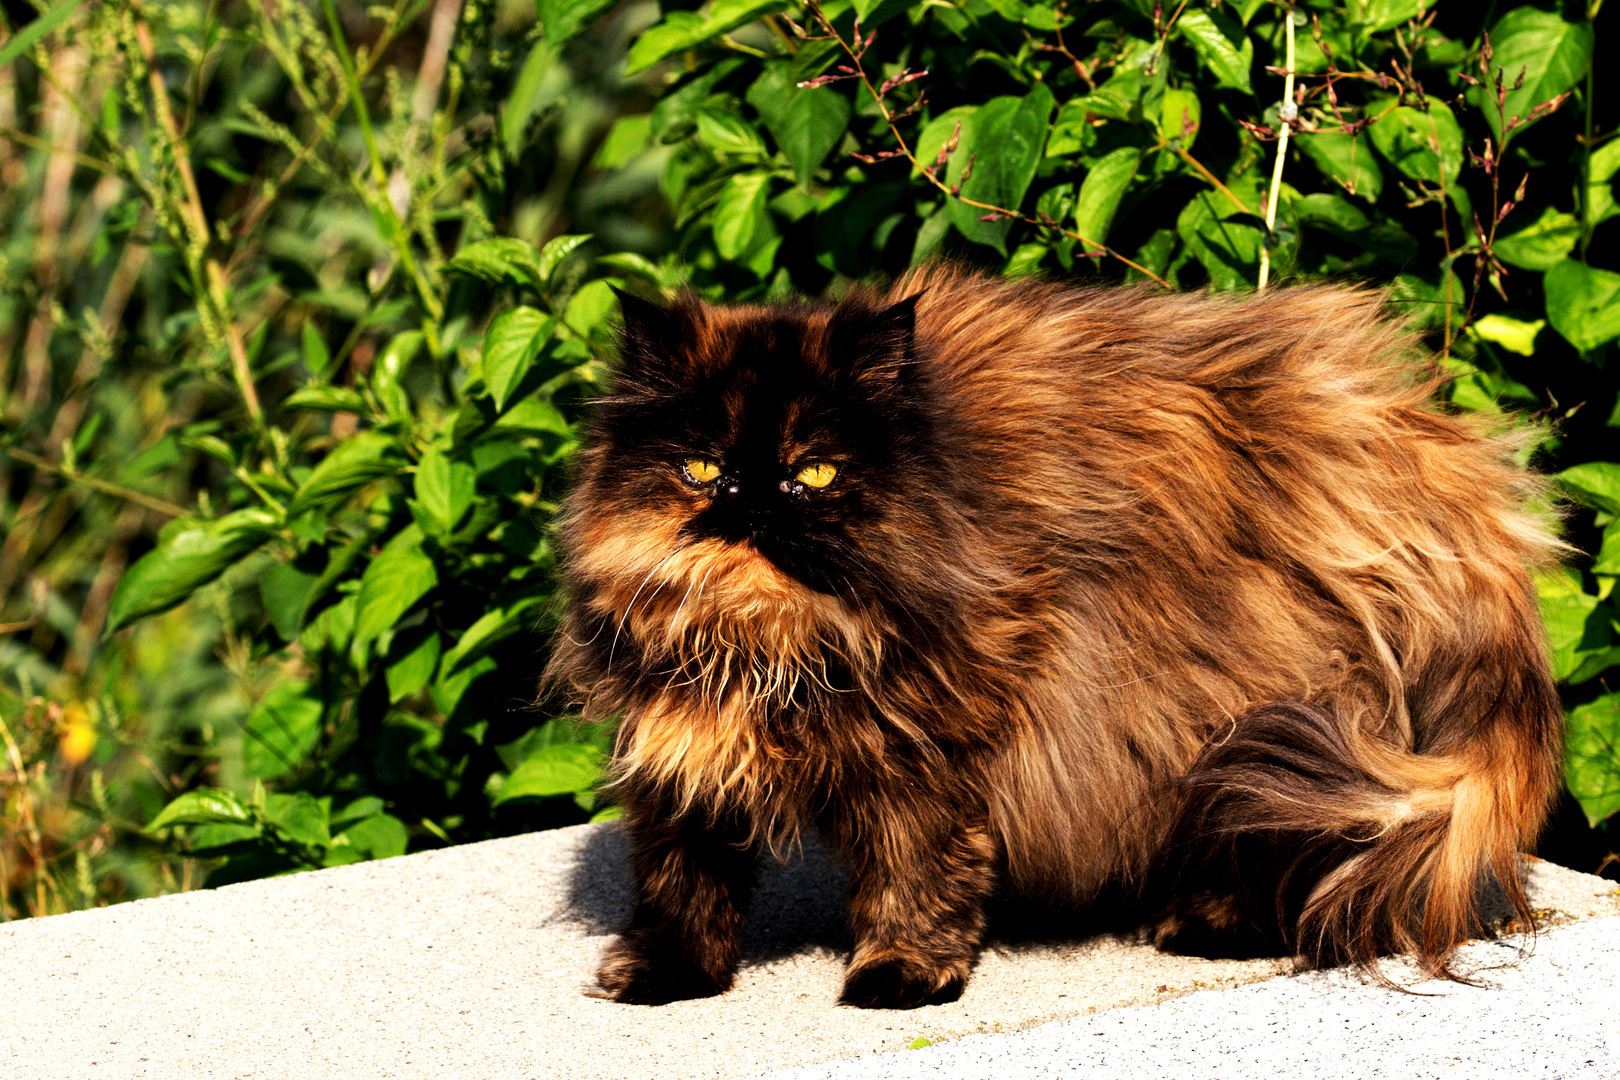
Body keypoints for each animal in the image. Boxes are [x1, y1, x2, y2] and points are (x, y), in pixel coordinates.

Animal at [550, 265, 1561, 1010]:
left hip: (1247, 714)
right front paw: (668, 977)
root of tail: (1399, 436)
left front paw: (900, 976)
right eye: (701, 467)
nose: (751, 503)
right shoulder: (683, 744)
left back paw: (1208, 925)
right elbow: (682, 883)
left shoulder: (934, 746)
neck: (769, 643)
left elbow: (916, 874)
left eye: (817, 472)